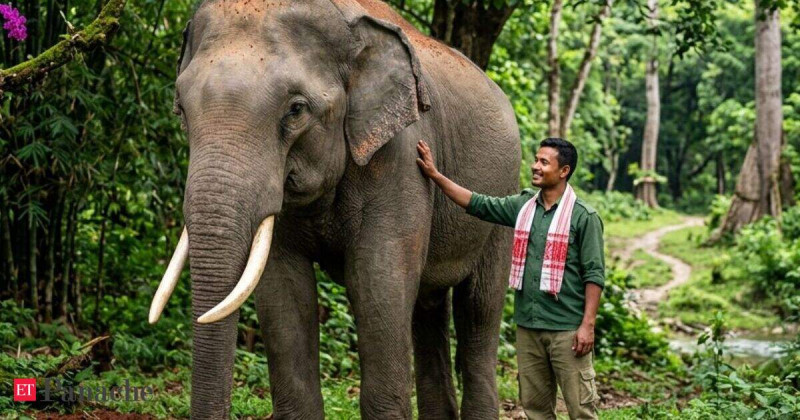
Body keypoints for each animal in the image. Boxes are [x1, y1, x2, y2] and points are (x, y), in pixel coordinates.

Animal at [147, 0, 521, 418]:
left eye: (296, 110)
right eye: (181, 107)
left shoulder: (401, 159)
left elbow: (377, 282)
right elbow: (283, 290)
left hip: (504, 197)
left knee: (479, 309)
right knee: (428, 307)